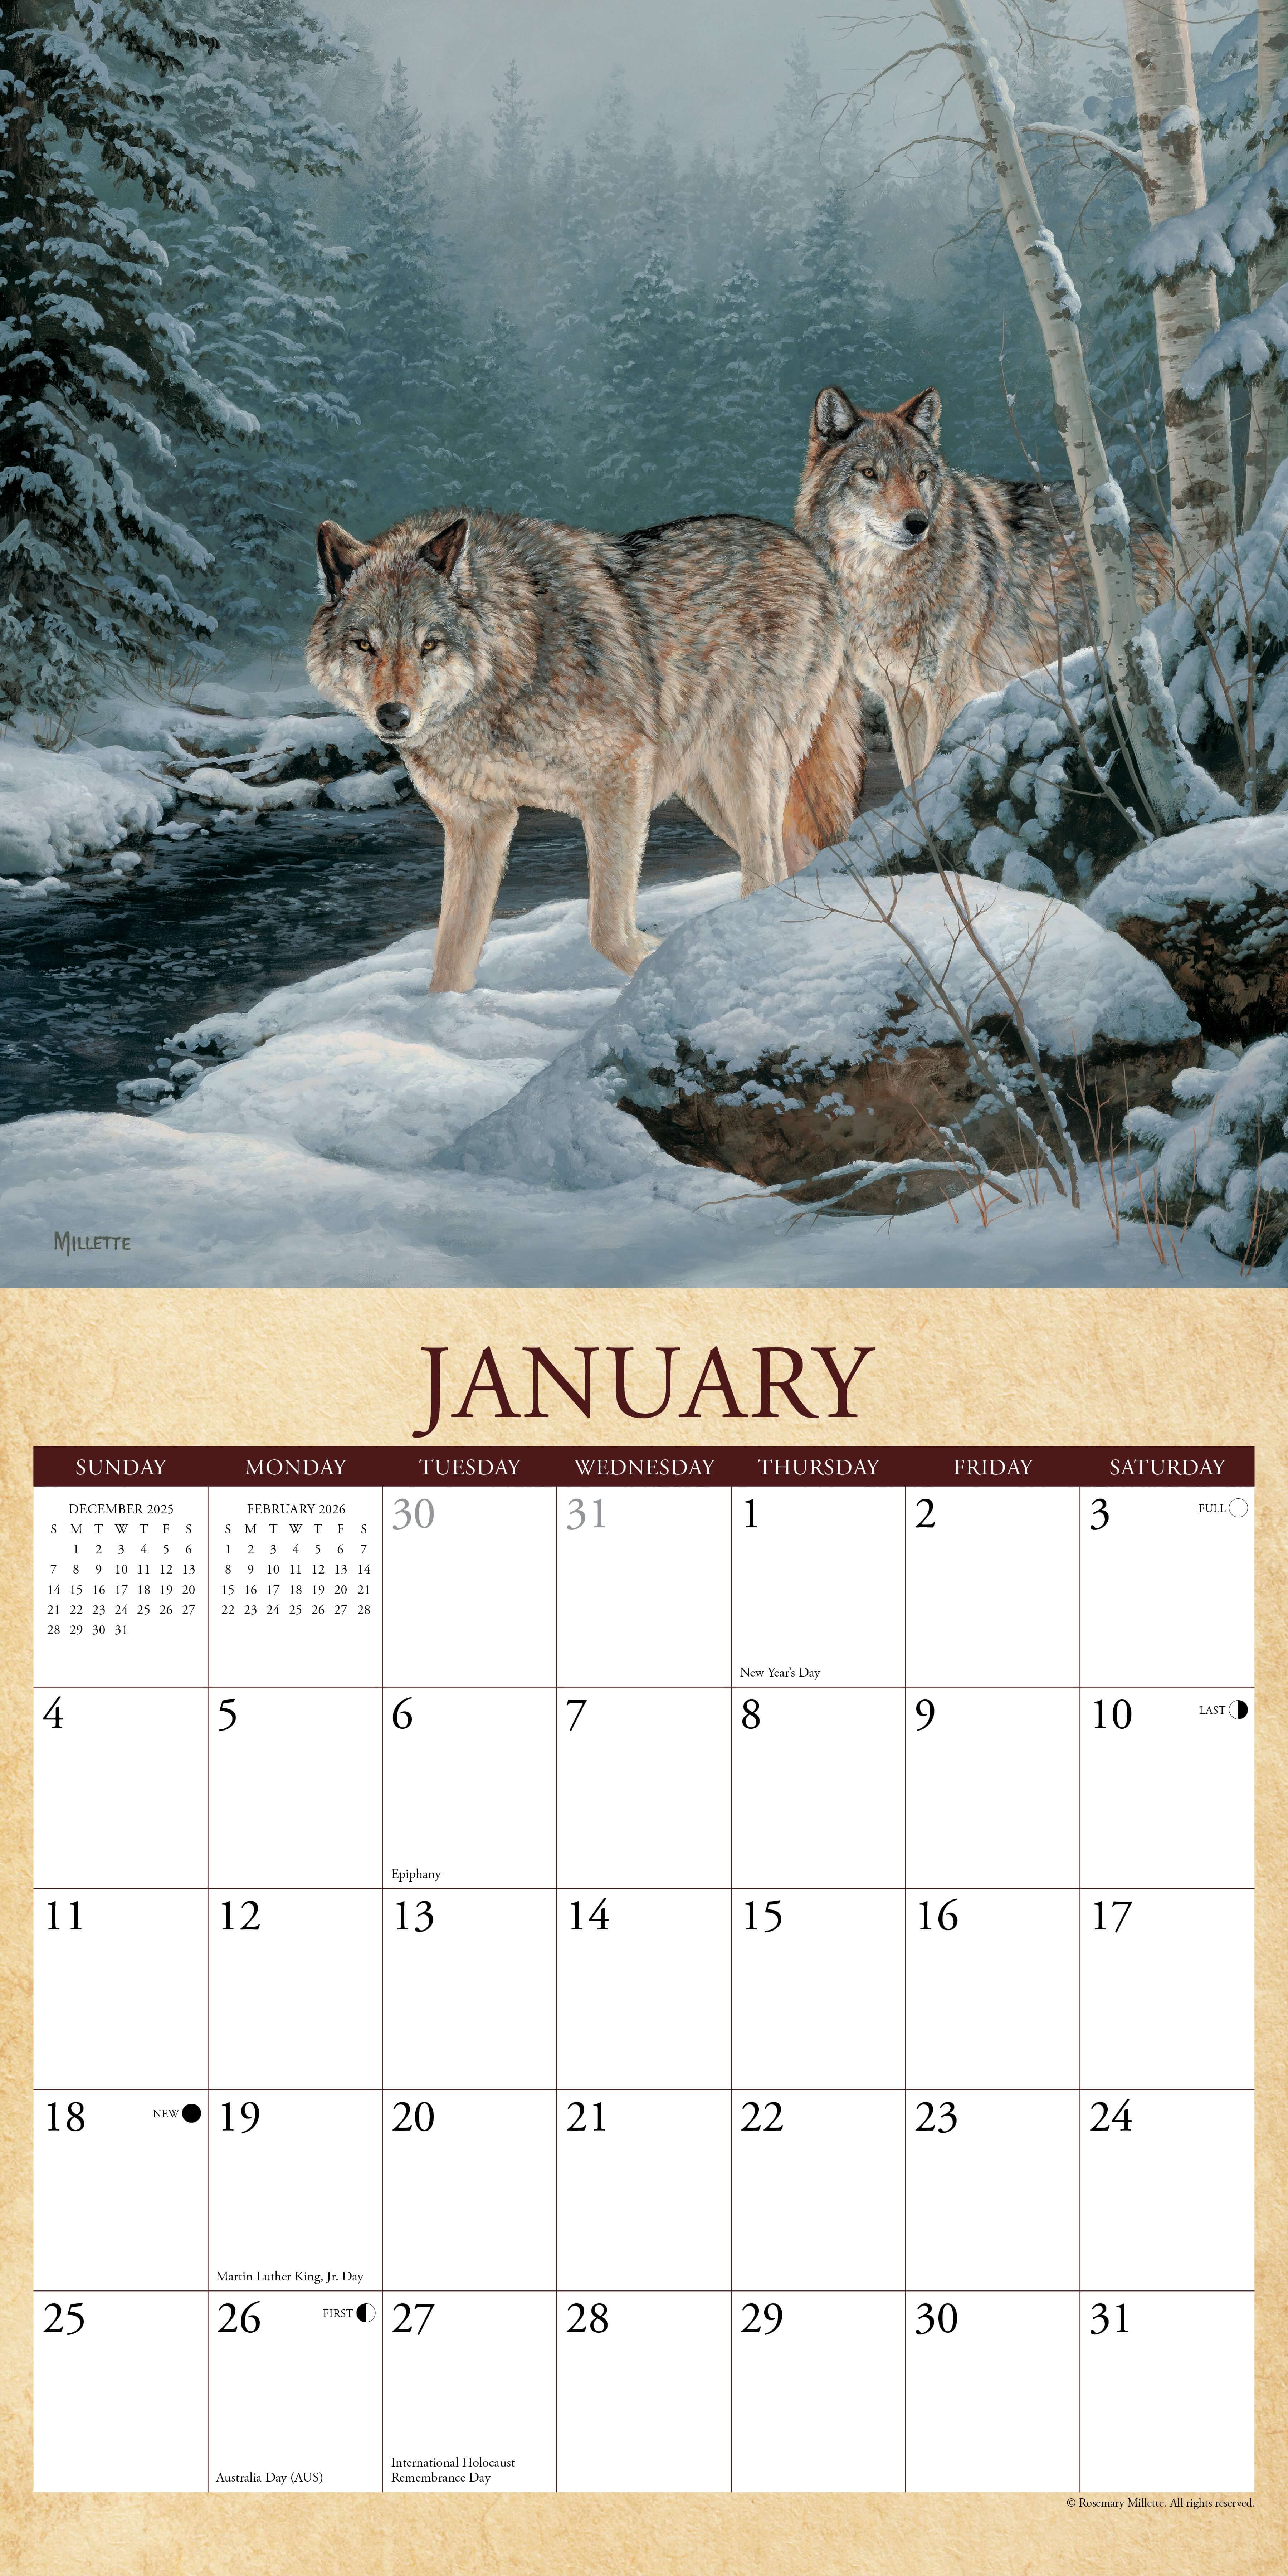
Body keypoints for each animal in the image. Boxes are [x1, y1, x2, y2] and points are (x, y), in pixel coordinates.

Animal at [306, 507, 865, 993]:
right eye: (365, 645)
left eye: (429, 645)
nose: (393, 716)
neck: (513, 664)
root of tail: (808, 556)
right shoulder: (478, 823)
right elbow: (451, 960)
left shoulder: (619, 777)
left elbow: (607, 931)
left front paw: (653, 960)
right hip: (705, 791)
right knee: (791, 857)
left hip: (743, 763)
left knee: (766, 865)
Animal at [795, 385, 1171, 786]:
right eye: (870, 473)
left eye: (921, 475)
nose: (918, 524)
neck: (887, 588)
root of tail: (1144, 520)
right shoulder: (902, 698)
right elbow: (914, 778)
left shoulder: (950, 692)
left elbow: (931, 772)